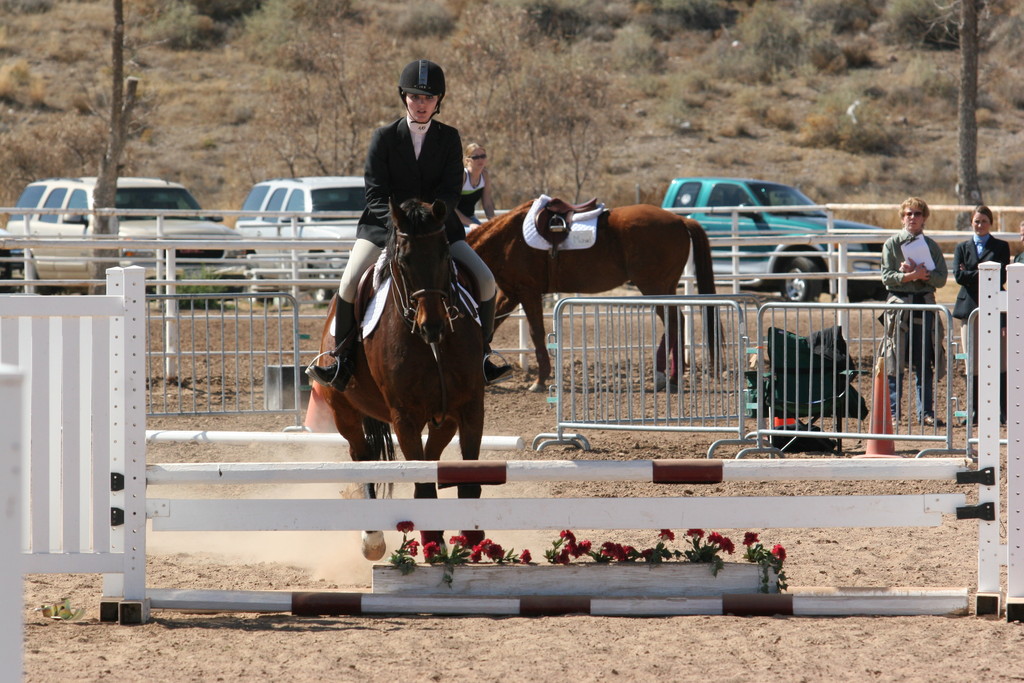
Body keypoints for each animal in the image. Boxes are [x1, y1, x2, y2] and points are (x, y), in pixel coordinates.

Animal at [313, 198, 485, 561]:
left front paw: (472, 543)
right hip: (344, 412)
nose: (432, 325)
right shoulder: (404, 418)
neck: (432, 346)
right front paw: (434, 548)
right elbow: (422, 486)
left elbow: (467, 481)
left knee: (431, 456)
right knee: (362, 456)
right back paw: (372, 540)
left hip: (444, 418)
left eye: (445, 255)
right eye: (404, 261)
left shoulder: (470, 409)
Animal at [466, 198, 716, 389]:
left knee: (673, 322)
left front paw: (540, 380)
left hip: (654, 287)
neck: (507, 239)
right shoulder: (511, 294)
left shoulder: (528, 292)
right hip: (665, 287)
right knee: (677, 322)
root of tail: (680, 220)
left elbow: (536, 332)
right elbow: (490, 326)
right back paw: (673, 377)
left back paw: (669, 377)